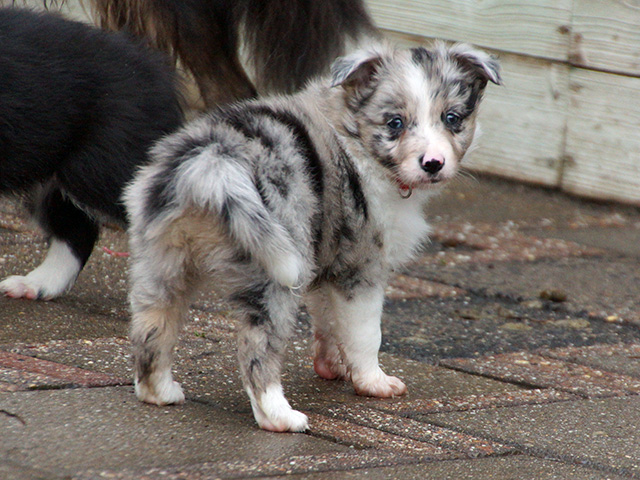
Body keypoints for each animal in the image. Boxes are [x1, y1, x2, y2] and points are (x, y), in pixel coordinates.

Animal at [124, 42, 501, 432]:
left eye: (452, 118)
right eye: (395, 123)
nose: (433, 164)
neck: (355, 135)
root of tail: (211, 159)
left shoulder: (327, 256)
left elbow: (328, 320)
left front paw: (331, 366)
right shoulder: (361, 269)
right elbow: (365, 334)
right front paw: (374, 382)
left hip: (162, 260)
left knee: (153, 327)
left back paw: (159, 391)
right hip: (274, 270)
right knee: (257, 349)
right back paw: (279, 416)